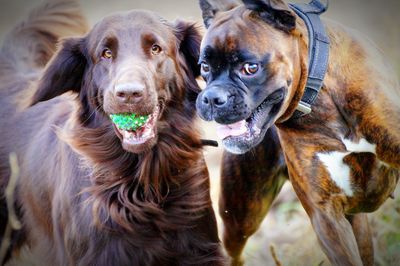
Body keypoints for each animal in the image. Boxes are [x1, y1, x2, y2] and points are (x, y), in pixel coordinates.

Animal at [197, 0, 400, 266]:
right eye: (204, 67)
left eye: (250, 68)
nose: (211, 98)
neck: (319, 99)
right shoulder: (327, 216)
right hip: (242, 214)